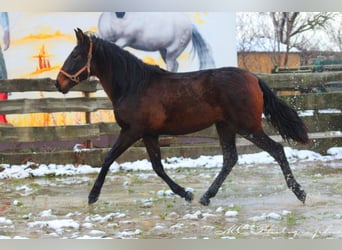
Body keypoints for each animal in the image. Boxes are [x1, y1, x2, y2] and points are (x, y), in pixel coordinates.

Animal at [54, 28, 308, 205]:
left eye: (76, 55)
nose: (59, 83)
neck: (133, 85)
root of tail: (253, 78)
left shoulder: (132, 131)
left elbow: (108, 158)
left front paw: (92, 196)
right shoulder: (149, 134)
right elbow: (157, 167)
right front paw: (186, 193)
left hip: (247, 126)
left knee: (277, 150)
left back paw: (300, 192)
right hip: (225, 126)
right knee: (230, 159)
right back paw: (205, 197)